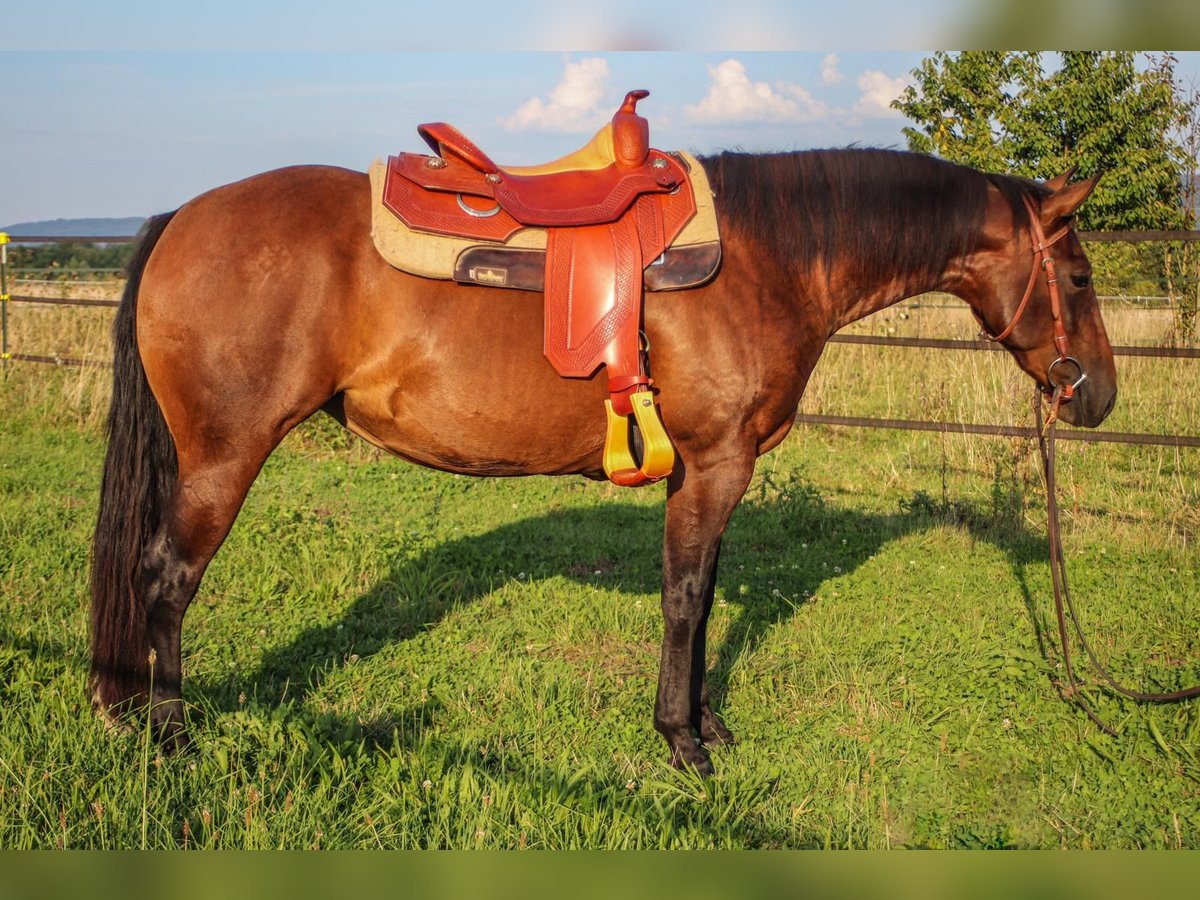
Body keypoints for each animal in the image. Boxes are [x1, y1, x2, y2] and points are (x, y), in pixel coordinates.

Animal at [91, 148, 1113, 777]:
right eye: (1079, 276)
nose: (1097, 396)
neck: (770, 258)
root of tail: (182, 216)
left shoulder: (709, 473)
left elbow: (704, 600)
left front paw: (706, 723)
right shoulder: (715, 466)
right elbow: (686, 600)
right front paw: (682, 743)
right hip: (224, 458)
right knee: (167, 576)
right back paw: (170, 734)